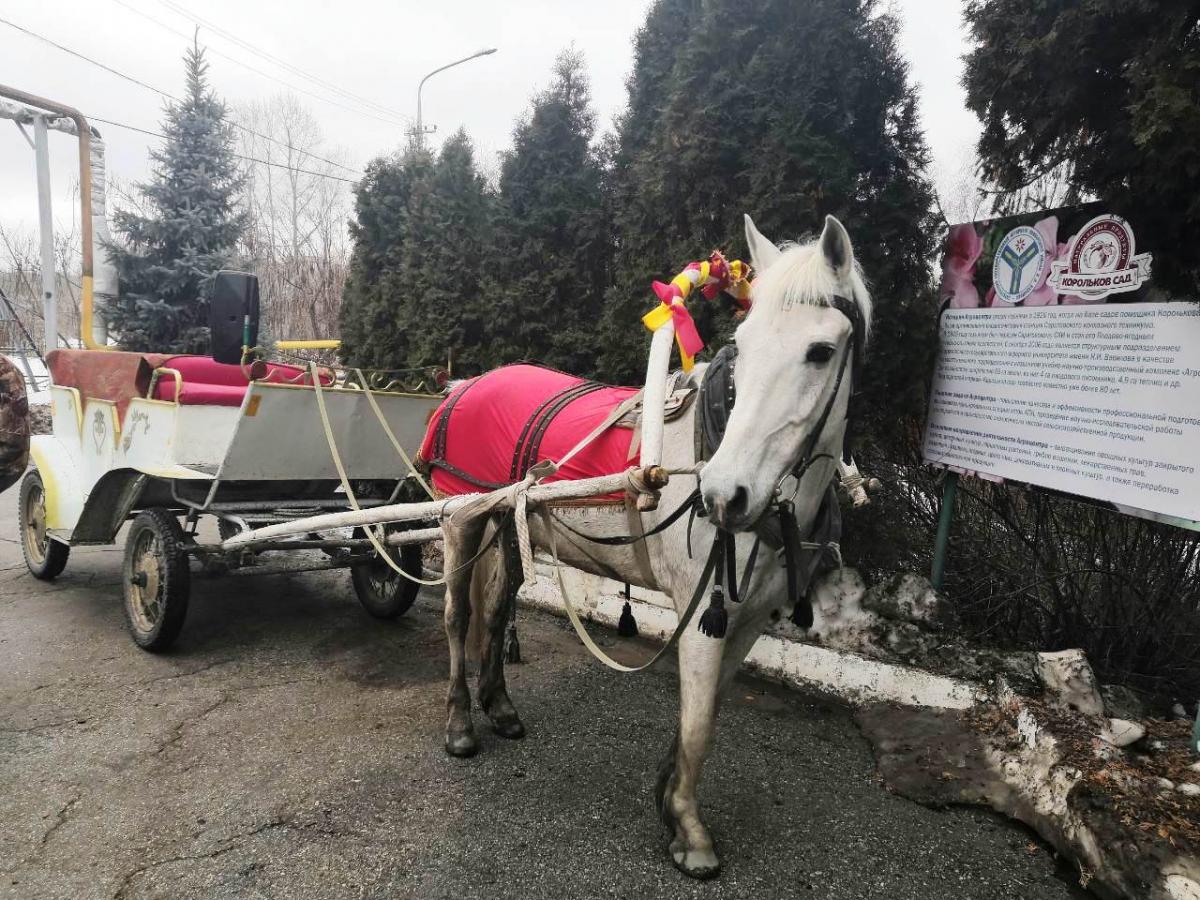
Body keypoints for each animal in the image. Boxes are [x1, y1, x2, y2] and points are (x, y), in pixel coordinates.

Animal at [441, 213, 873, 883]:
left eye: (821, 351)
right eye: (742, 347)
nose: (724, 495)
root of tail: (467, 382)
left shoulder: (747, 620)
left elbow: (708, 711)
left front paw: (669, 799)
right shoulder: (701, 618)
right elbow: (696, 724)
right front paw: (691, 832)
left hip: (505, 522)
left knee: (496, 606)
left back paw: (500, 705)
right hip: (459, 517)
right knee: (460, 617)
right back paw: (461, 722)